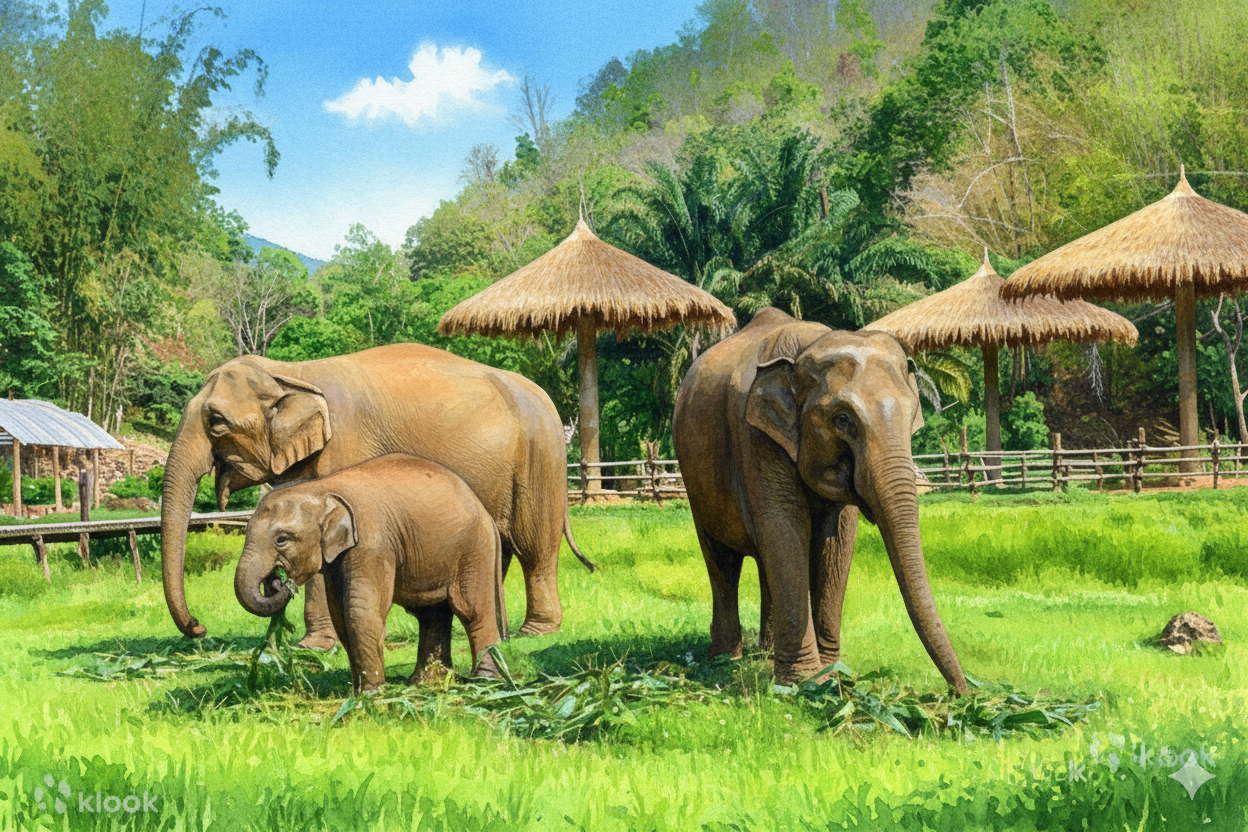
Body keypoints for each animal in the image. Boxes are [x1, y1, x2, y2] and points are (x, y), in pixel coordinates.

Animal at [161, 343, 592, 649]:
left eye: (216, 421)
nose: (199, 628)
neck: (290, 371)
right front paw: (314, 644)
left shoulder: (346, 444)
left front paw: (314, 647)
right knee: (497, 549)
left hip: (540, 456)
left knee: (534, 546)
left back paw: (534, 633)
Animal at [235, 454, 505, 692]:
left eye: (281, 539)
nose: (279, 582)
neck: (321, 488)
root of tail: (486, 513)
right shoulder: (337, 557)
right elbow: (340, 613)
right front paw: (357, 694)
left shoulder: (372, 543)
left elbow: (360, 610)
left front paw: (371, 696)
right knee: (432, 614)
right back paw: (425, 684)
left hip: (474, 548)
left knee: (472, 610)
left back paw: (484, 683)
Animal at [672, 307, 967, 692]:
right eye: (842, 419)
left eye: (911, 418)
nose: (964, 692)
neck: (807, 347)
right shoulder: (753, 436)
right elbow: (785, 528)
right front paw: (804, 683)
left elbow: (836, 540)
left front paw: (833, 676)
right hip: (695, 481)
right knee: (723, 560)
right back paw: (725, 661)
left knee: (765, 559)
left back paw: (765, 655)